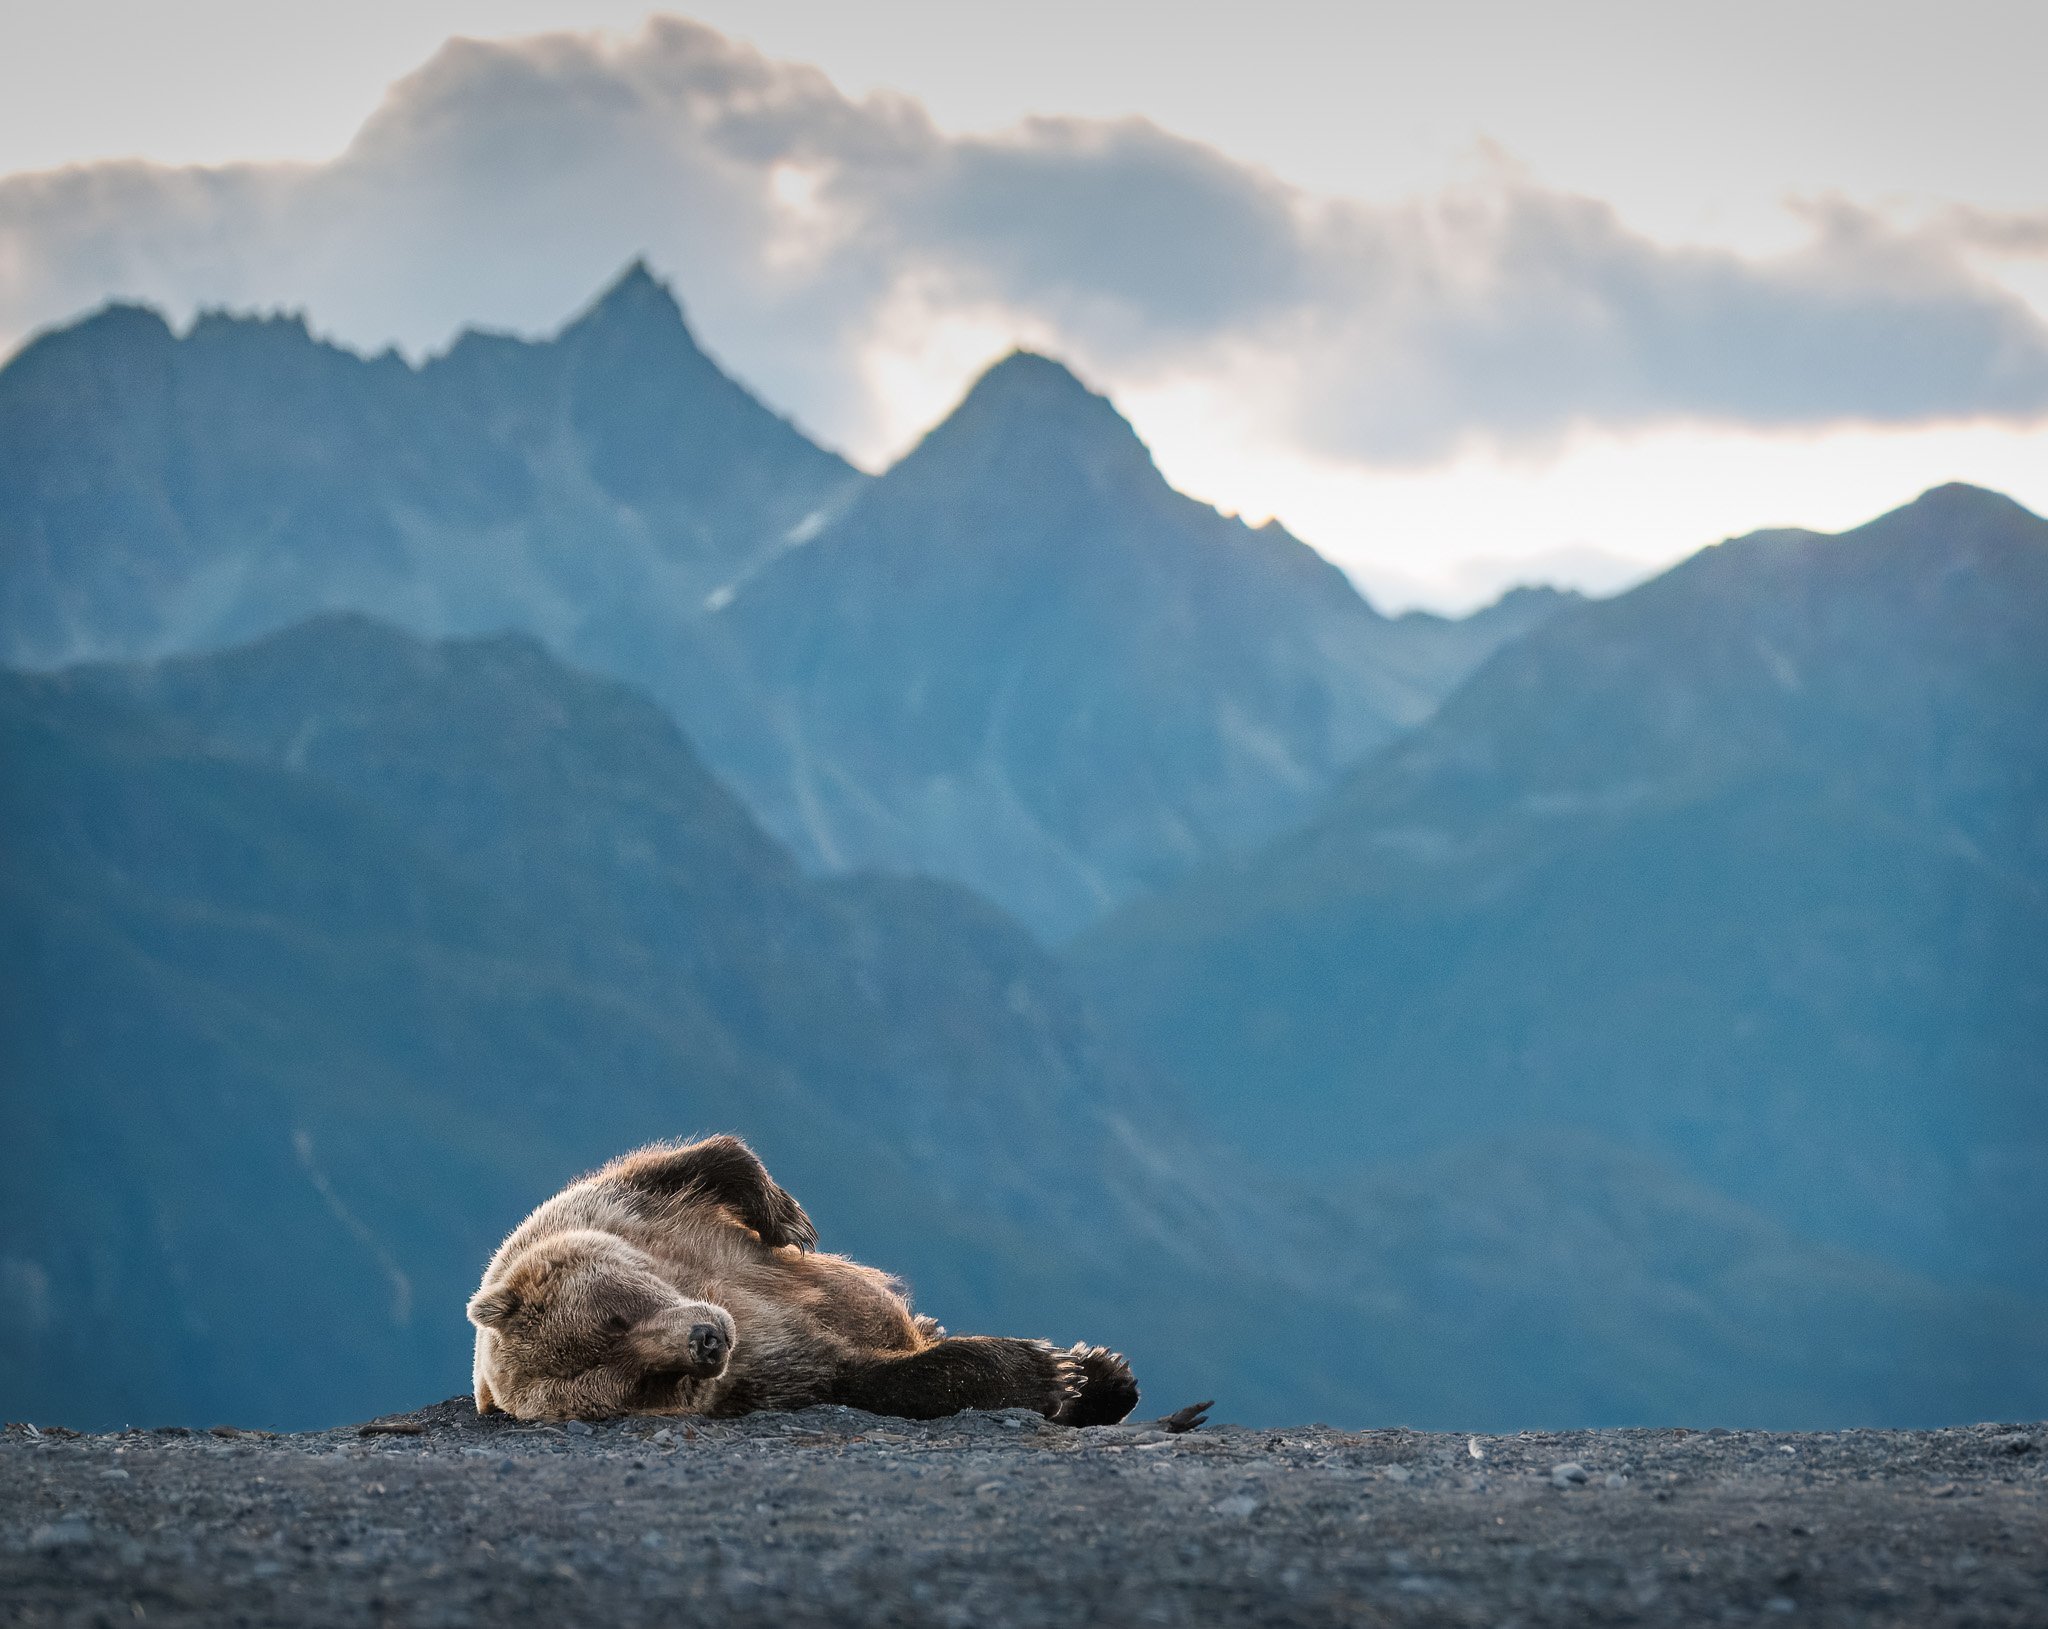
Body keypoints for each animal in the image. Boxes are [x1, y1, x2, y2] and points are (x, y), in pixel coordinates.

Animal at [468, 1135, 1142, 1425]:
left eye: (616, 1315)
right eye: (641, 1383)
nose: (706, 1343)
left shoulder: (621, 1210)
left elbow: (703, 1162)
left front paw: (787, 1217)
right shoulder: (772, 1374)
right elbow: (874, 1379)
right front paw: (1049, 1372)